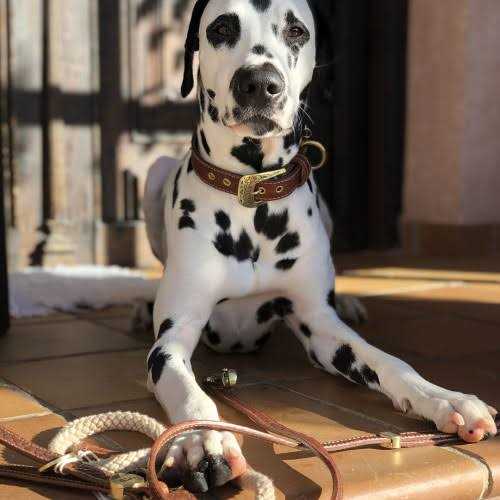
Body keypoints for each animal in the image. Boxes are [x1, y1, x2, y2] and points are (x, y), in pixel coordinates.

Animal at [140, 0, 497, 493]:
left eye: (296, 31)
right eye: (222, 27)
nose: (260, 83)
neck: (252, 196)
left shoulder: (320, 328)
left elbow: (390, 363)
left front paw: (446, 399)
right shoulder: (172, 339)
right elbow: (189, 392)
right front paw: (202, 441)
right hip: (154, 173)